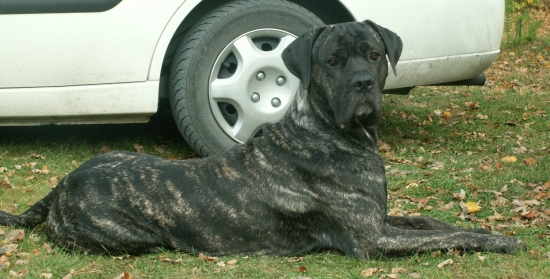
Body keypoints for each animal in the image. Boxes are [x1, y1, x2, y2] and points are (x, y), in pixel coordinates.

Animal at [0, 20, 528, 260]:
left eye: (375, 54)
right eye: (332, 61)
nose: (363, 83)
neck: (329, 131)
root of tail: (59, 187)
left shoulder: (381, 218)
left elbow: (431, 220)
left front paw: (485, 228)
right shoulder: (372, 238)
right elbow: (448, 236)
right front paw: (501, 239)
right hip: (136, 238)